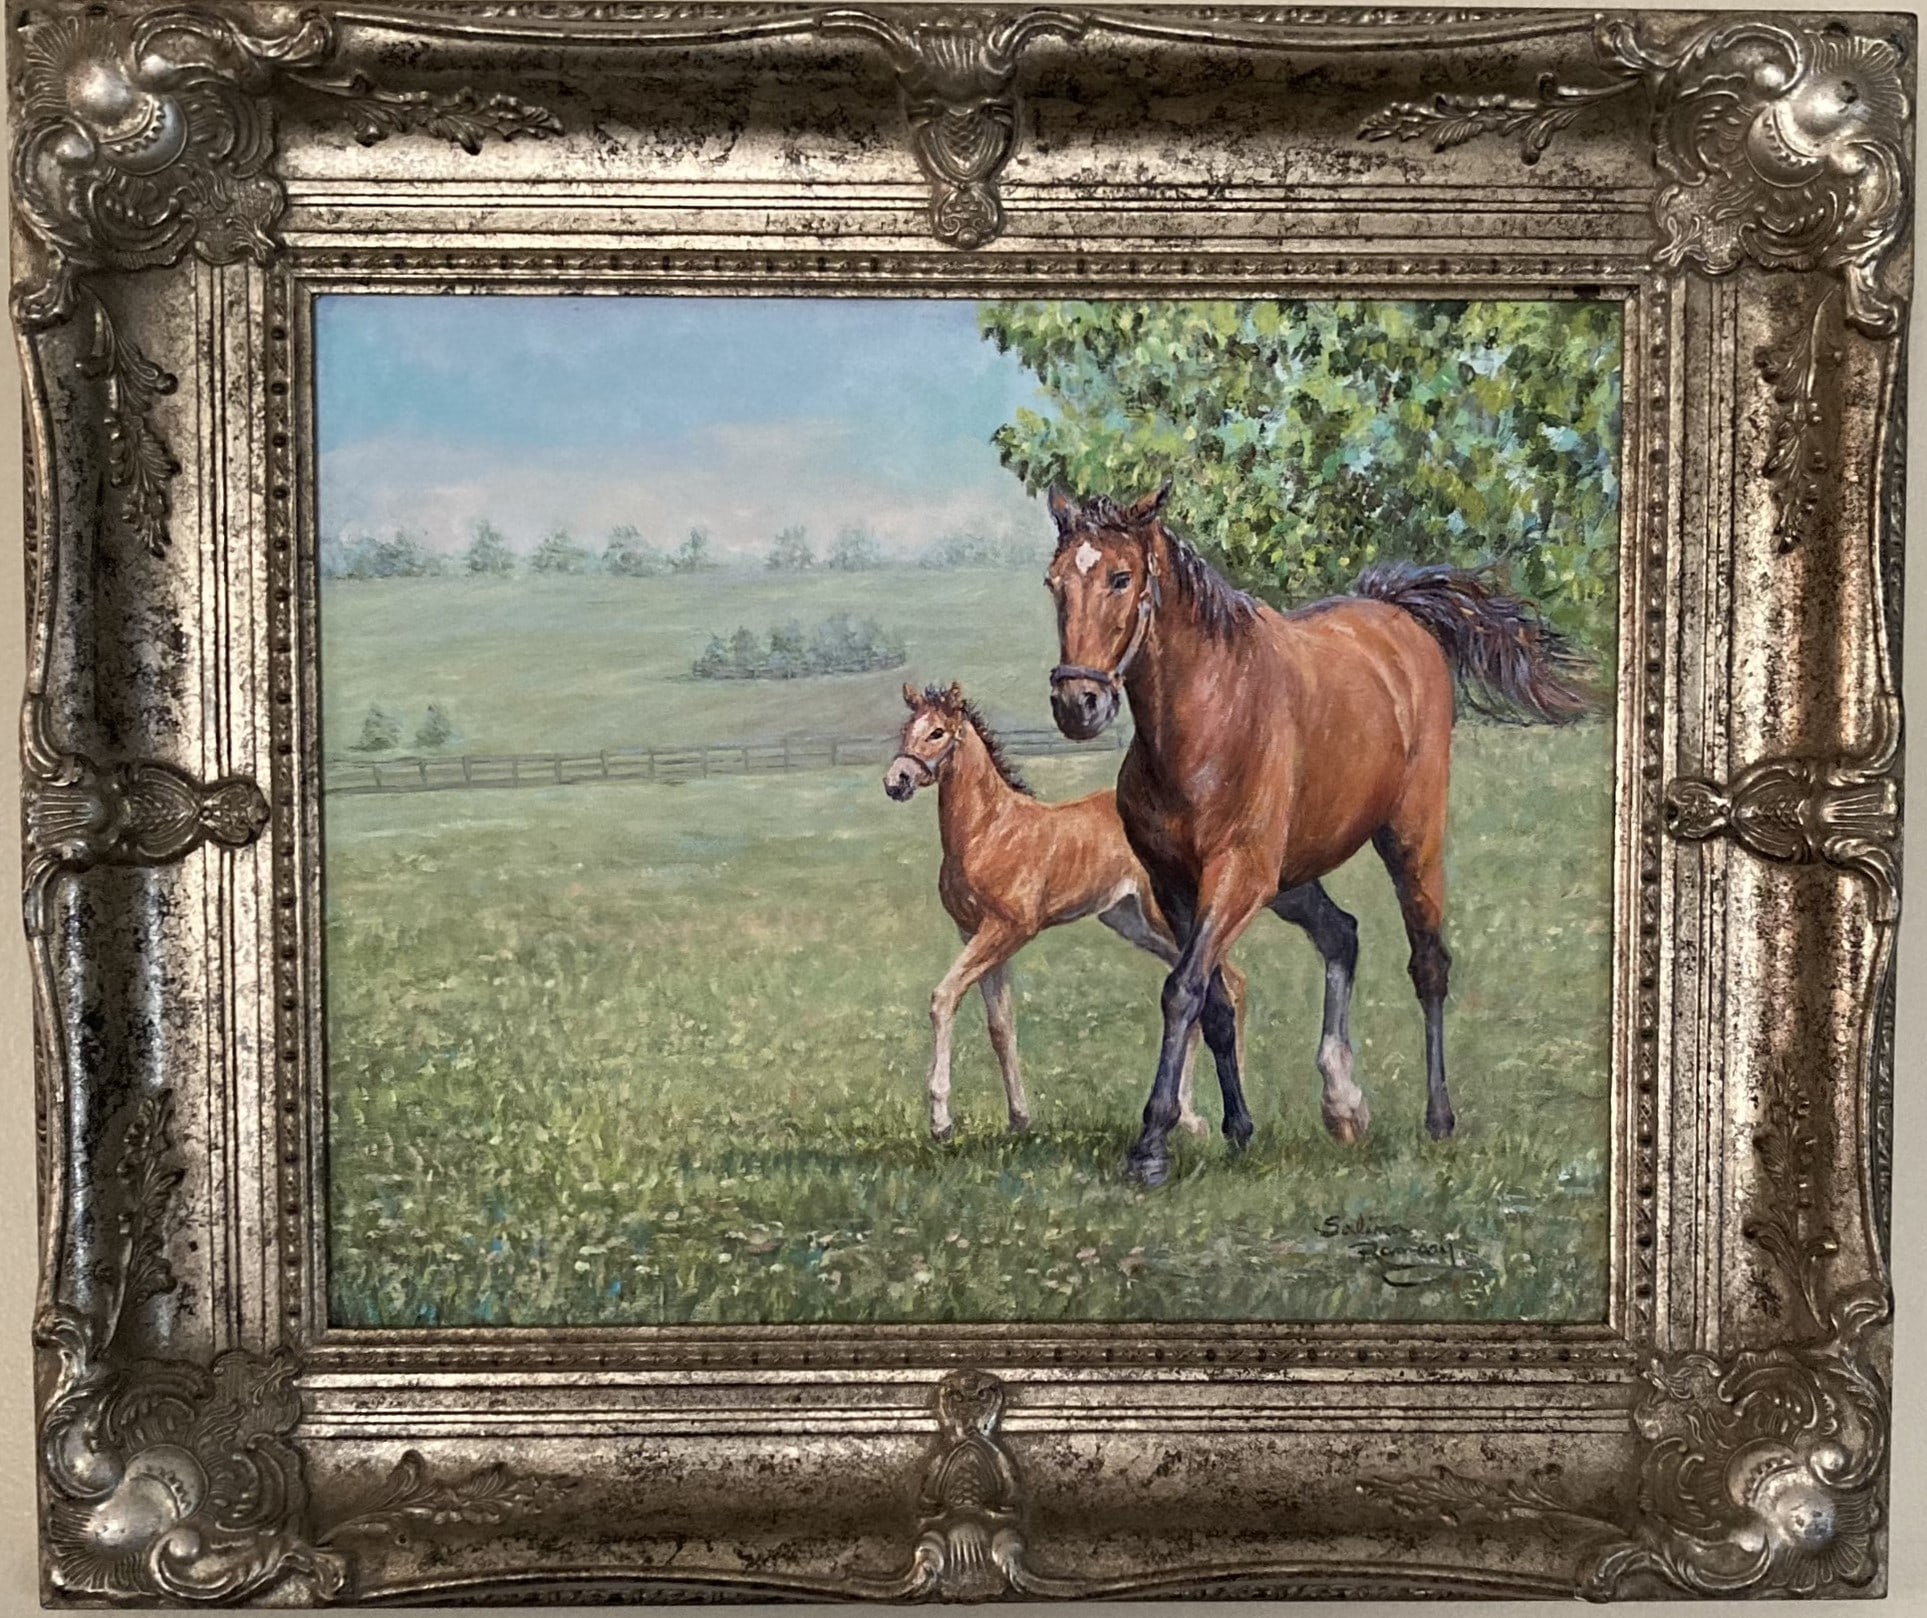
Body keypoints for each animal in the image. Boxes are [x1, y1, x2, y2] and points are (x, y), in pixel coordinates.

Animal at [883, 681, 1245, 1144]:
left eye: (938, 733)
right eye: (906, 729)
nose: (896, 781)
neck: (987, 830)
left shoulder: (1006, 930)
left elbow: (944, 997)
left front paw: (941, 1122)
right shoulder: (973, 933)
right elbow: (1001, 1025)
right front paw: (1020, 1118)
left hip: (1165, 918)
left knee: (1232, 981)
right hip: (1133, 922)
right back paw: (1190, 1117)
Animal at [1044, 485, 1591, 1186]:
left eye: (1121, 578)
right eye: (1055, 583)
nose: (1077, 704)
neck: (1208, 718)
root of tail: (1396, 616)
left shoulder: (1236, 878)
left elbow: (1183, 991)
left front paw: (1152, 1147)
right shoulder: (1177, 887)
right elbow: (1213, 1003)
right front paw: (1239, 1130)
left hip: (1408, 844)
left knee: (1429, 966)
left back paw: (1438, 1120)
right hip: (1292, 880)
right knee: (1342, 934)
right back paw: (1343, 1104)